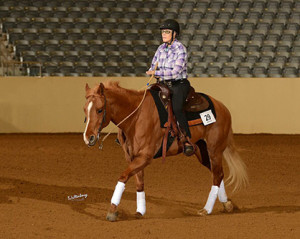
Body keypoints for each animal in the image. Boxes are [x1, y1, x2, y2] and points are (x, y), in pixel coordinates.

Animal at [82, 81, 248, 221]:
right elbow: (139, 183)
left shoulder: (145, 157)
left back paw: (206, 209)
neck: (136, 116)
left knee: (217, 174)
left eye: (99, 110)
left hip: (215, 150)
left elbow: (123, 177)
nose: (88, 137)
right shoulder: (133, 157)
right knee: (217, 174)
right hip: (201, 151)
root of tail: (222, 107)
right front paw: (140, 211)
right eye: (85, 110)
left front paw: (112, 211)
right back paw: (227, 204)